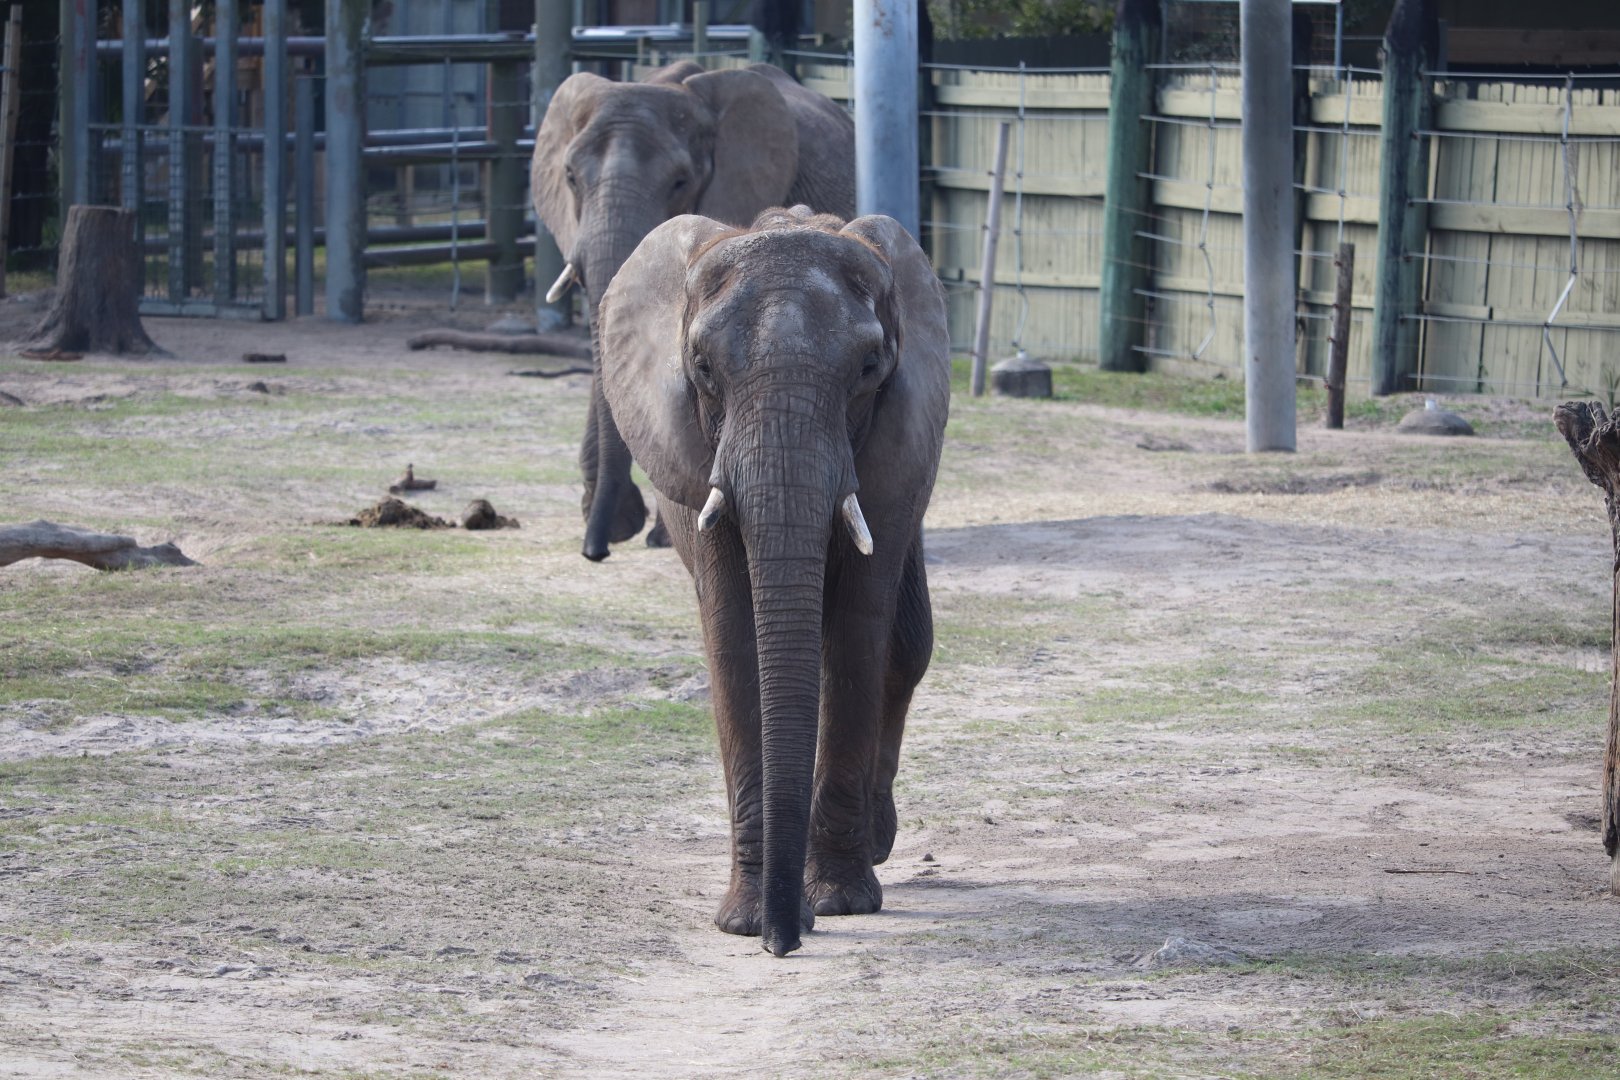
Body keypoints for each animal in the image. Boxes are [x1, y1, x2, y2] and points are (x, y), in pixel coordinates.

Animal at [596, 206, 950, 956]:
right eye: (701, 367)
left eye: (870, 368)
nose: (783, 943)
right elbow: (734, 640)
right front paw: (746, 922)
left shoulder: (895, 458)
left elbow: (858, 636)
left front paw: (840, 902)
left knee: (905, 646)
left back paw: (873, 845)